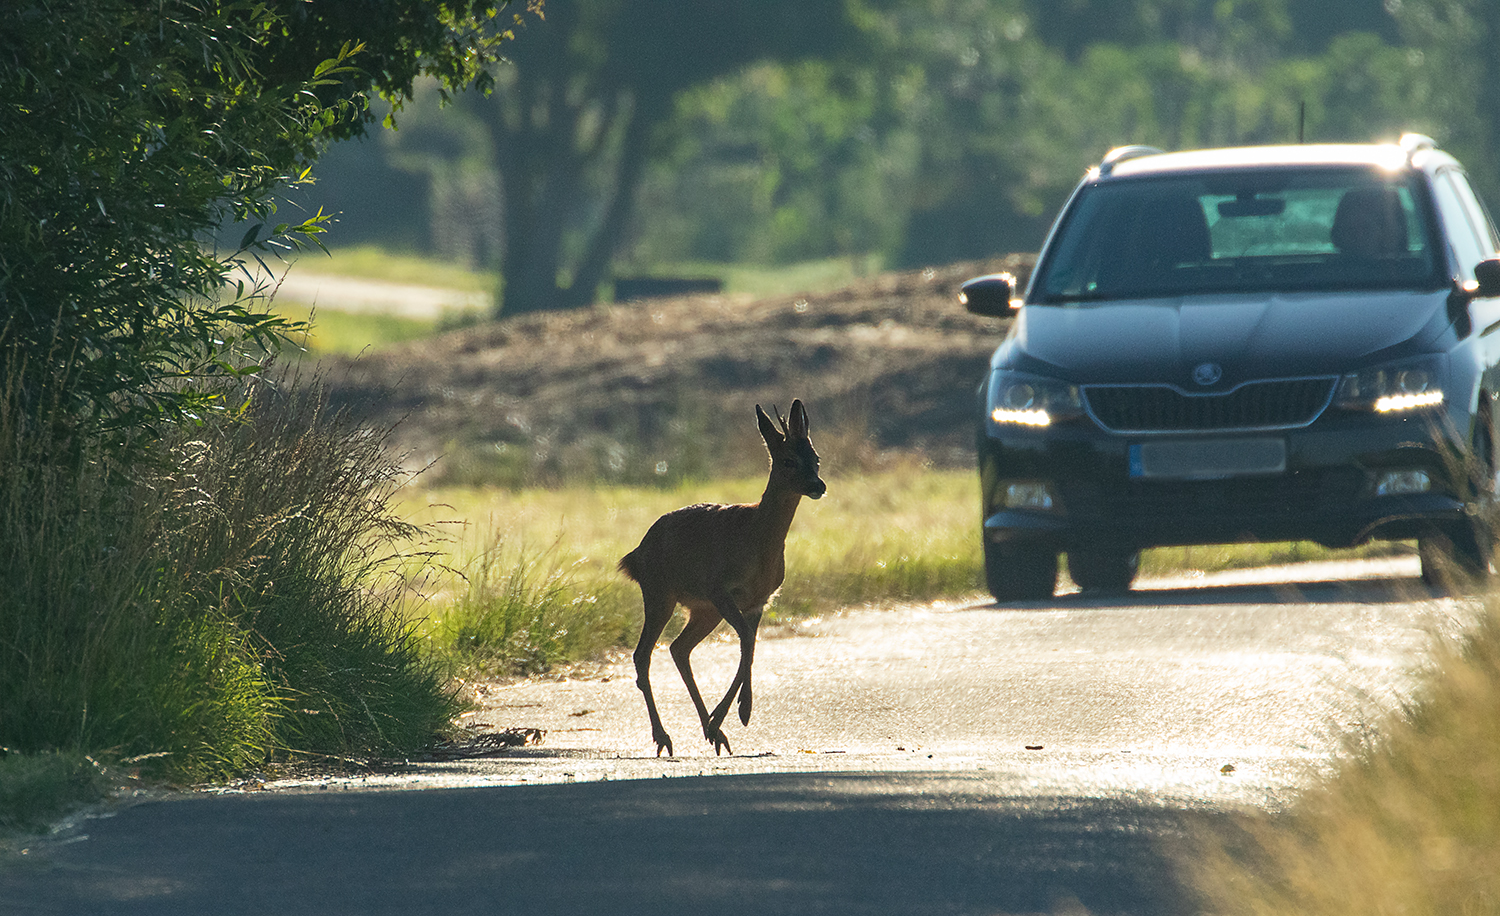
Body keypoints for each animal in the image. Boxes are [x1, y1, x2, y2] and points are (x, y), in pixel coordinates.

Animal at [618, 398, 828, 755]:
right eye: (788, 460)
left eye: (815, 458)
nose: (818, 485)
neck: (755, 536)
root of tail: (635, 555)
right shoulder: (721, 588)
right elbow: (746, 642)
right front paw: (736, 713)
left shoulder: (758, 600)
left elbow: (749, 645)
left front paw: (737, 713)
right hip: (661, 592)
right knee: (643, 654)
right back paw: (666, 737)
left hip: (702, 610)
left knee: (679, 648)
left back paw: (710, 731)